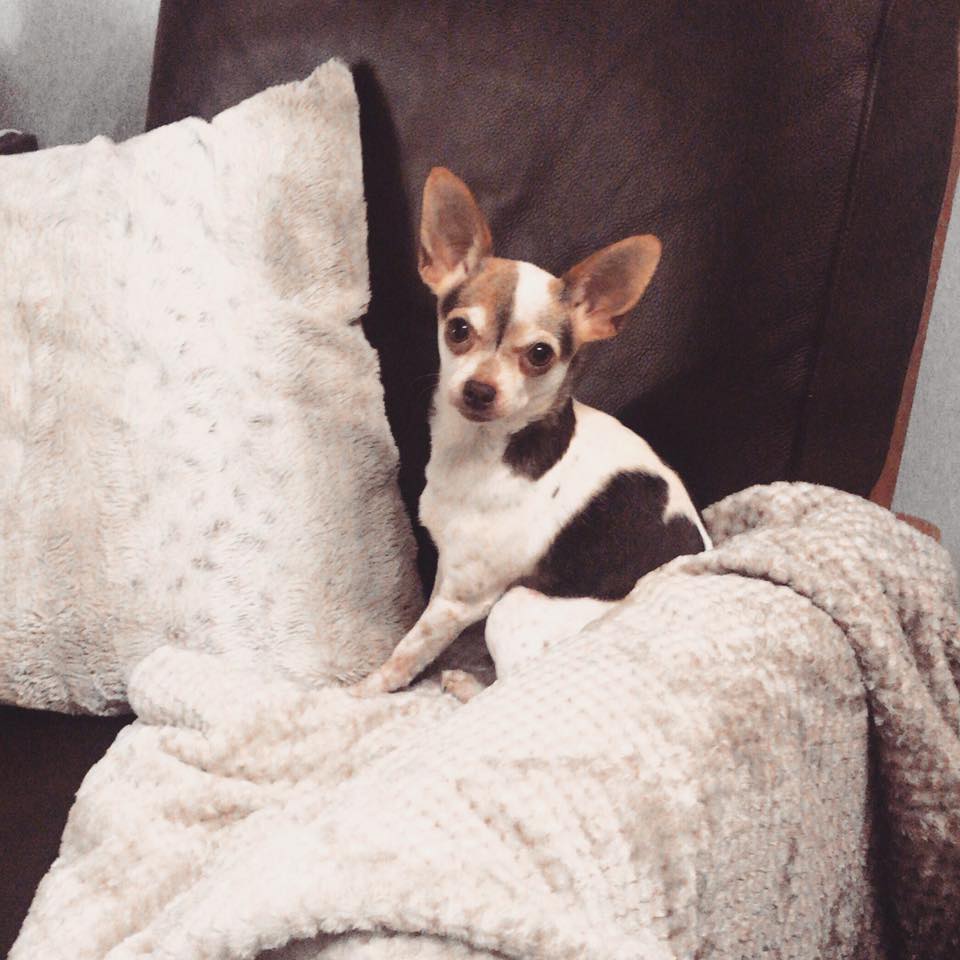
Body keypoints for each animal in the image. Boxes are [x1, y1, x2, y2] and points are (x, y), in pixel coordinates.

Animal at [351, 168, 710, 699]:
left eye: (540, 354)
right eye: (458, 330)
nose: (479, 389)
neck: (483, 451)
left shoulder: (464, 600)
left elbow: (407, 653)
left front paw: (359, 693)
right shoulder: (451, 573)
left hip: (514, 606)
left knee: (509, 686)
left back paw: (464, 685)